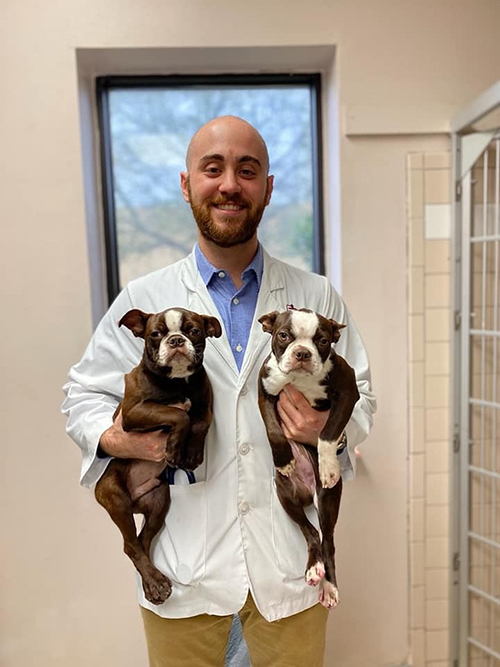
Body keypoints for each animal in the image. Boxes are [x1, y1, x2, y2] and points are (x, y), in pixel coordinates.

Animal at [95, 306, 221, 604]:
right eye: (156, 334)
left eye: (193, 330)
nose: (175, 340)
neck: (178, 383)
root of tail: (134, 501)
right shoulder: (134, 412)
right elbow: (177, 414)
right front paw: (174, 448)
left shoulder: (205, 403)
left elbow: (200, 421)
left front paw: (191, 454)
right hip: (114, 495)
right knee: (130, 545)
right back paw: (155, 584)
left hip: (160, 500)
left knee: (142, 540)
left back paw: (153, 580)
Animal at [258, 308, 360, 612]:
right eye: (283, 335)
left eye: (323, 341)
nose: (302, 353)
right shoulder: (265, 388)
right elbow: (273, 429)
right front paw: (283, 458)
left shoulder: (348, 391)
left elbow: (327, 433)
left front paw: (328, 467)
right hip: (285, 495)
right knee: (311, 533)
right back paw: (315, 569)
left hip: (326, 501)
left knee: (327, 541)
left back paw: (329, 587)